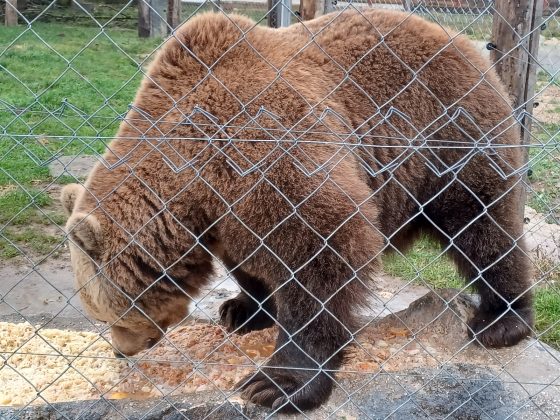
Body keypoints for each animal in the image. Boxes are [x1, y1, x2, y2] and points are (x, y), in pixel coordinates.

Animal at [61, 9, 533, 413]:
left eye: (104, 313)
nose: (120, 349)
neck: (190, 172)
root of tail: (465, 43)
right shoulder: (223, 211)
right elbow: (248, 259)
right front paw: (241, 309)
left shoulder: (261, 146)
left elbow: (320, 247)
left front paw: (275, 384)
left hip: (447, 134)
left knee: (481, 226)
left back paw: (501, 320)